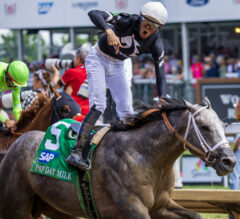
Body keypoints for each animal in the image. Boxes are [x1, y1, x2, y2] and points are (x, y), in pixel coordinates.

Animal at [0, 98, 236, 219]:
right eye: (204, 127)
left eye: (223, 125)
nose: (229, 161)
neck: (147, 157)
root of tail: (13, 147)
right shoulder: (134, 209)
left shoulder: (161, 206)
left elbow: (196, 216)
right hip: (16, 207)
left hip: (56, 208)